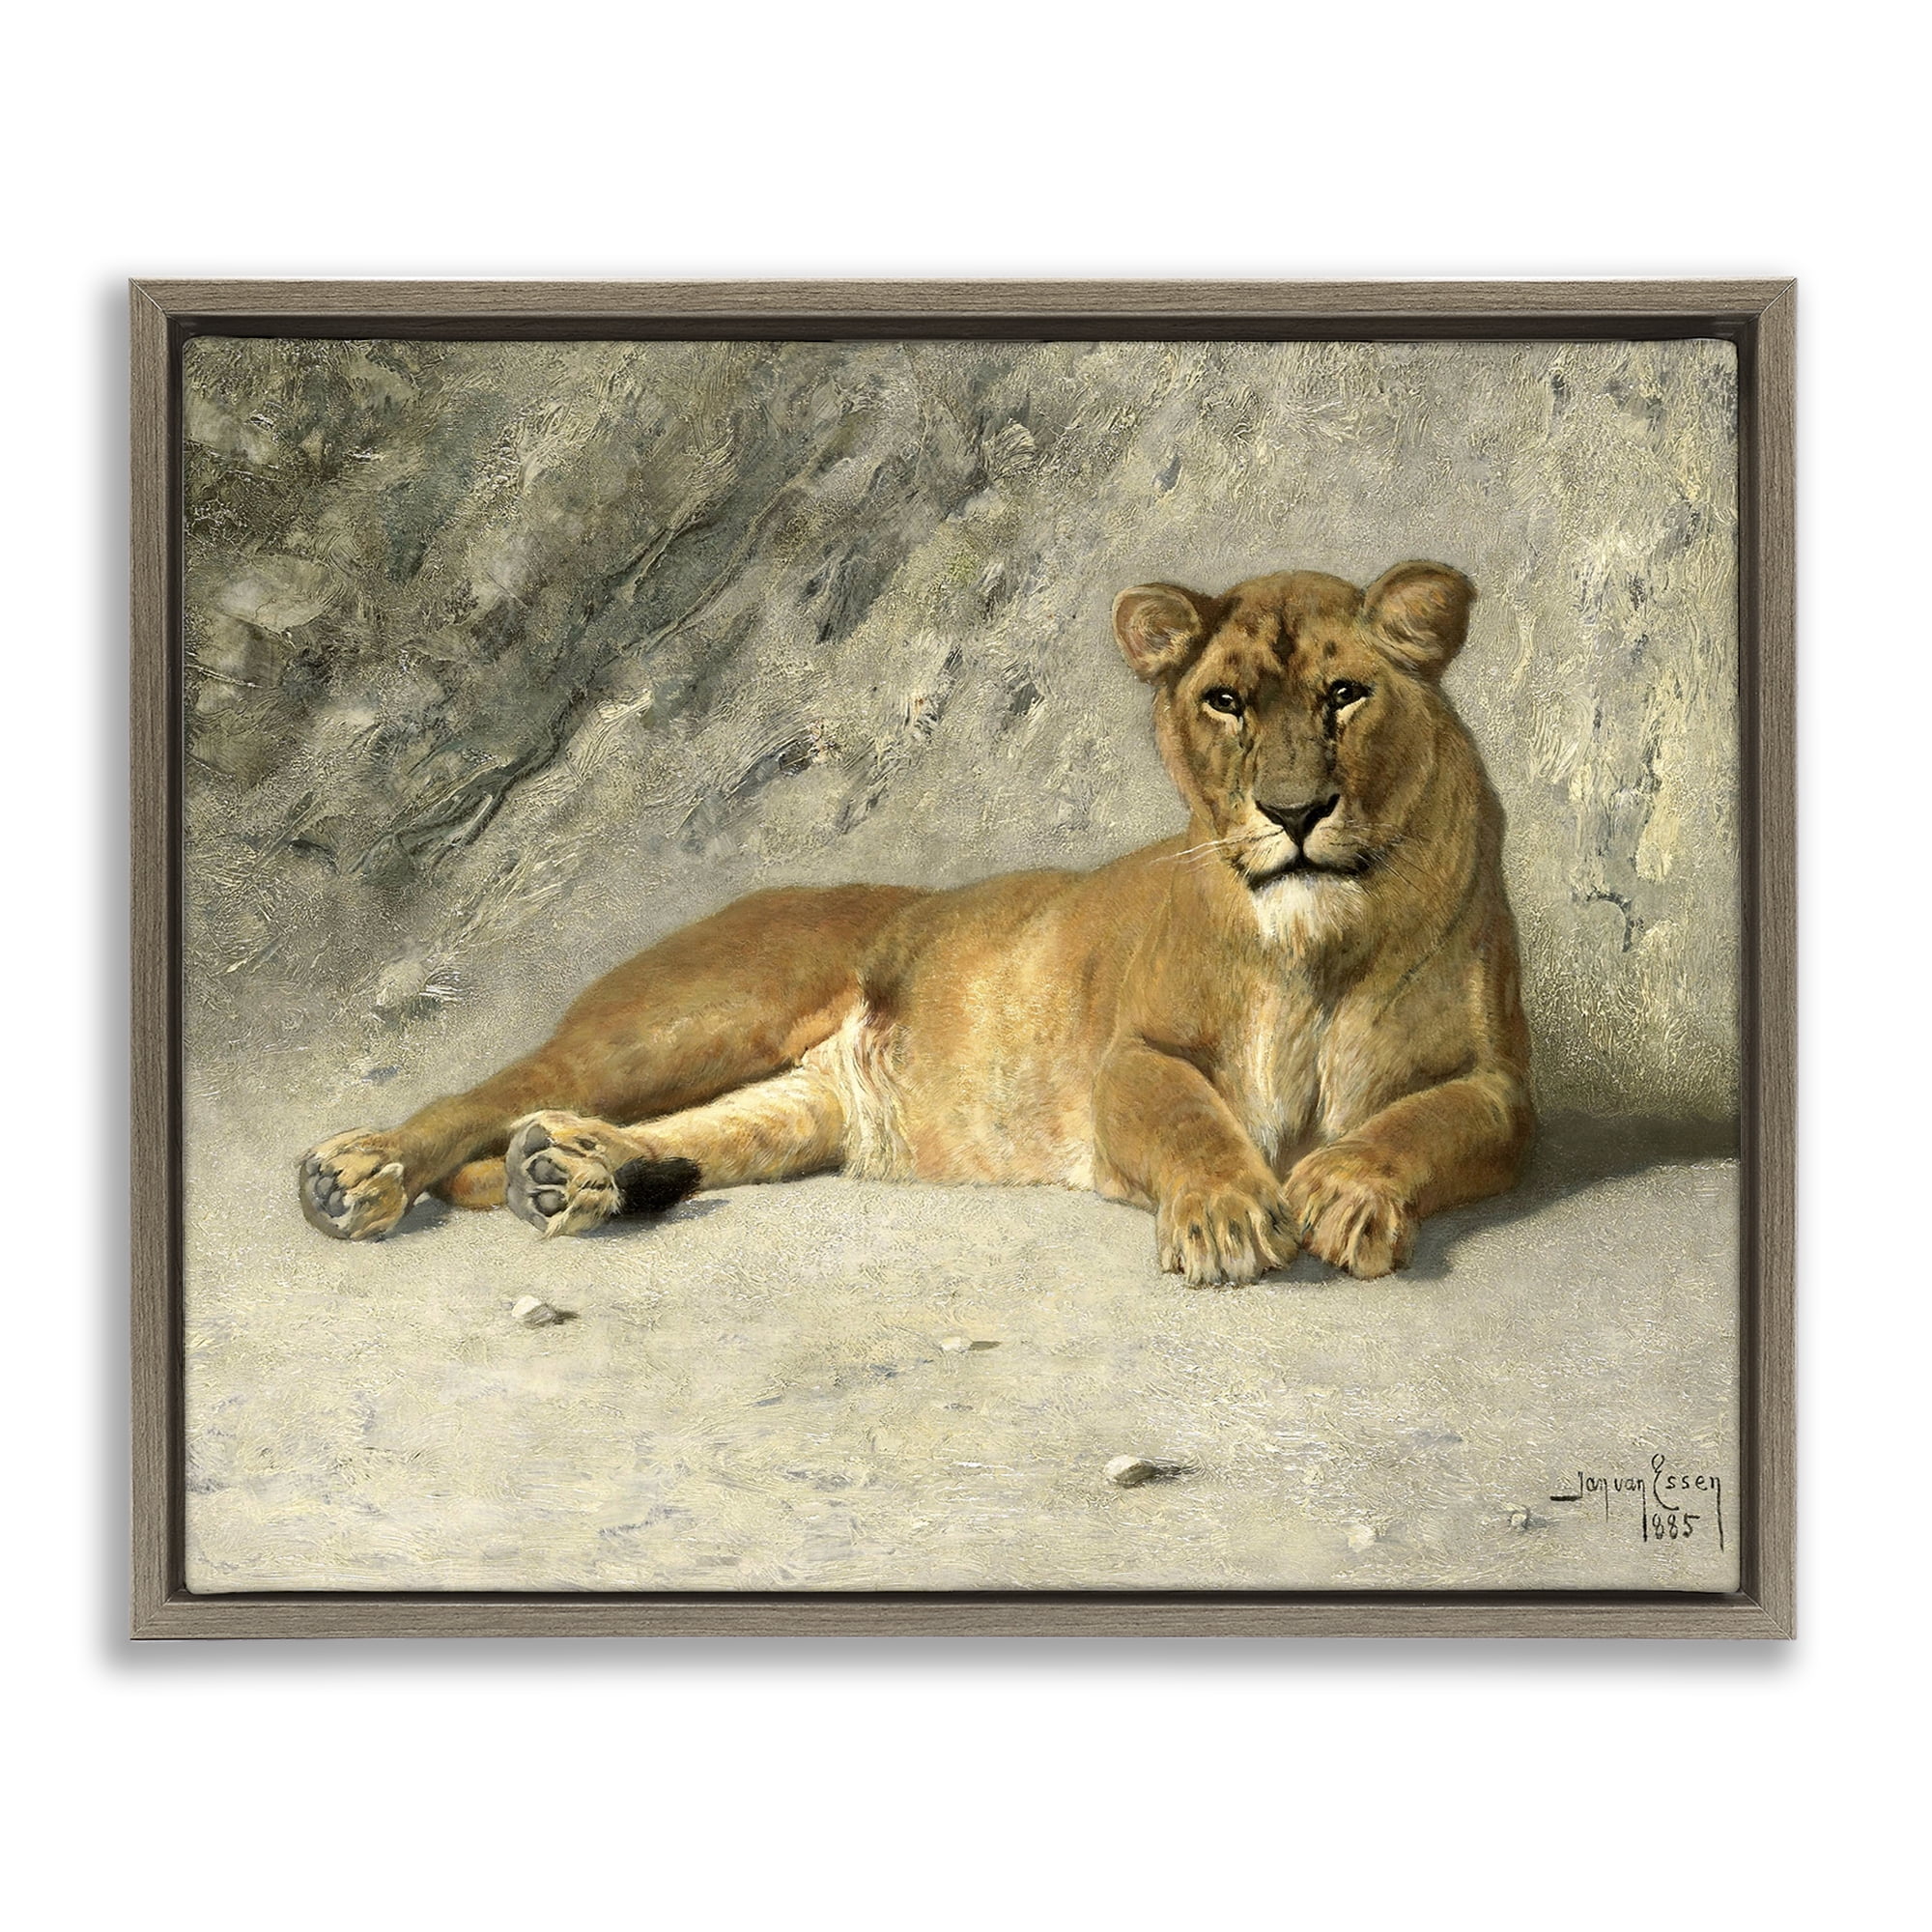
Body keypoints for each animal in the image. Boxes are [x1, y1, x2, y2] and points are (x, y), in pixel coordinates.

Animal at [298, 562, 1532, 1283]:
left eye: (1343, 695)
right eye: (1224, 701)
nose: (1293, 811)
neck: (1319, 941)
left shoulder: (1500, 1088)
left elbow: (1420, 1123)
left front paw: (1346, 1188)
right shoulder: (1130, 1057)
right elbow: (1190, 1117)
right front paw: (1230, 1214)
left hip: (799, 1108)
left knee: (680, 1133)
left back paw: (572, 1175)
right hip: (689, 1017)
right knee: (495, 1093)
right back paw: (356, 1175)